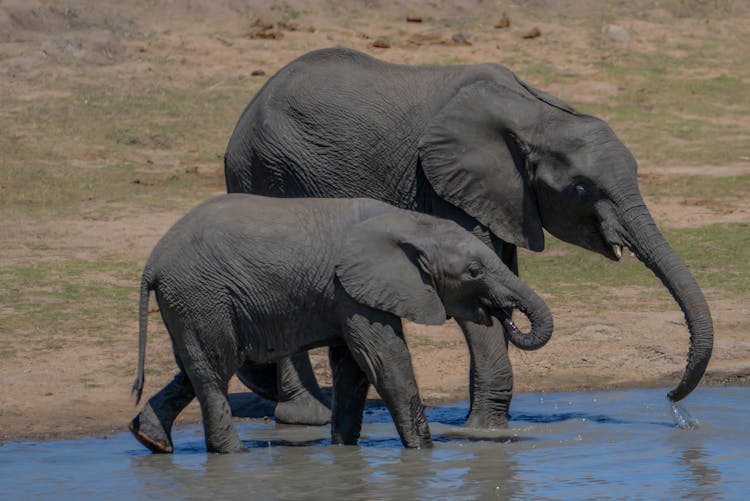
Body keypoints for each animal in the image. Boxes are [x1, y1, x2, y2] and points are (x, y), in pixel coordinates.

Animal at [129, 195, 556, 454]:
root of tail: (152, 262)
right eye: (473, 272)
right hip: (201, 295)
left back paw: (151, 440)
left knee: (195, 367)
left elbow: (353, 368)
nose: (506, 315)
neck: (412, 223)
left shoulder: (347, 294)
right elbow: (384, 362)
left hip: (191, 302)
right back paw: (233, 454)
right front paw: (423, 452)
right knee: (216, 368)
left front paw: (343, 451)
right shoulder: (351, 289)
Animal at [225, 46, 716, 426]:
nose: (670, 398)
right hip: (266, 171)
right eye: (581, 188)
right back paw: (306, 418)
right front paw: (486, 433)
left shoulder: (504, 198)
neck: (536, 115)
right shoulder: (442, 183)